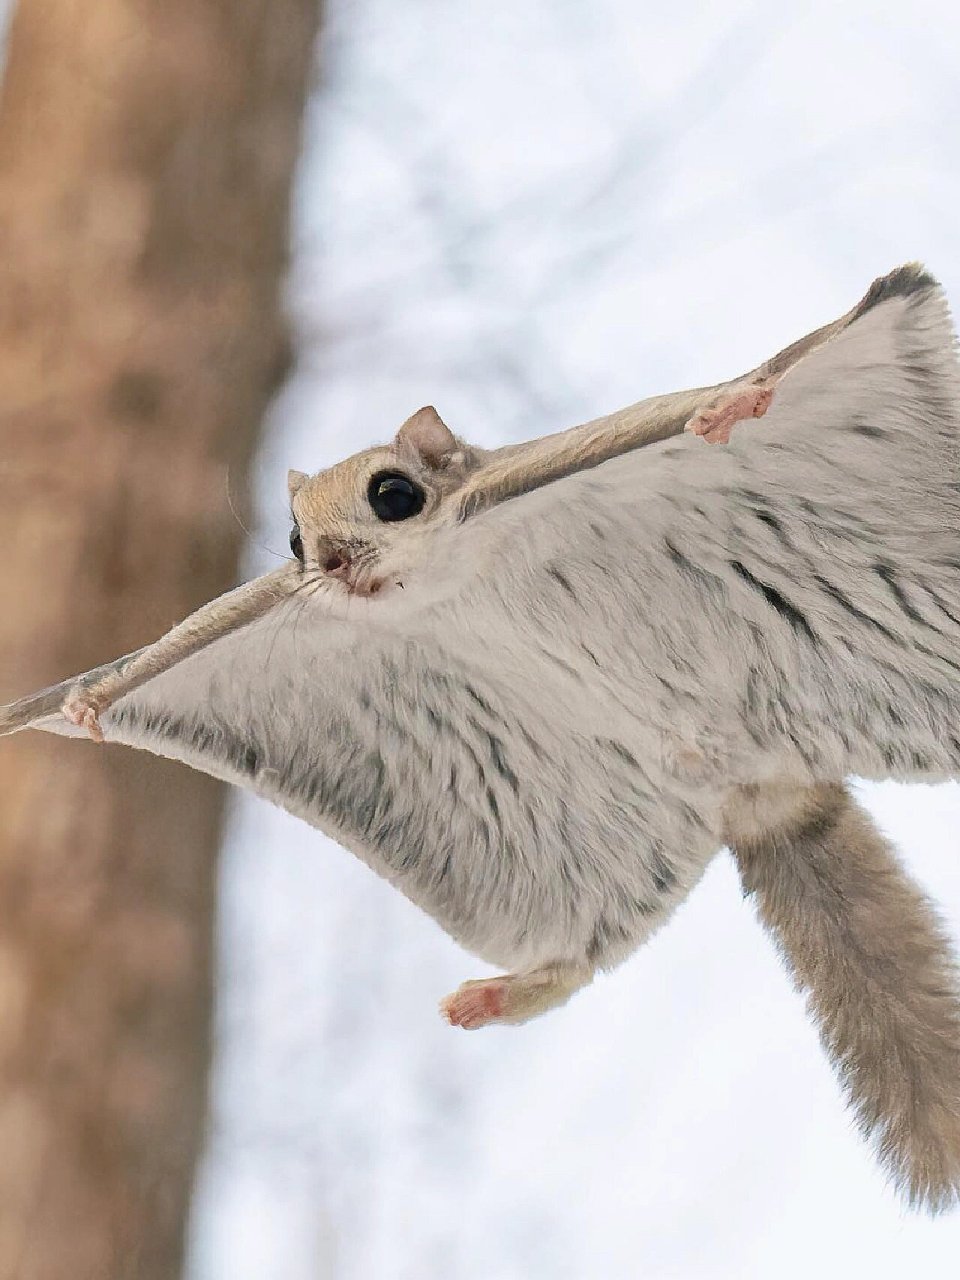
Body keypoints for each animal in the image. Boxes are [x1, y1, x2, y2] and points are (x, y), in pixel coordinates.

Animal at [1, 262, 960, 1208]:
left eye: (394, 494)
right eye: (293, 541)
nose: (334, 564)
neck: (451, 578)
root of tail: (760, 790)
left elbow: (704, 396)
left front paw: (734, 403)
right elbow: (169, 646)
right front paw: (88, 699)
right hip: (578, 836)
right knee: (590, 947)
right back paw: (502, 995)